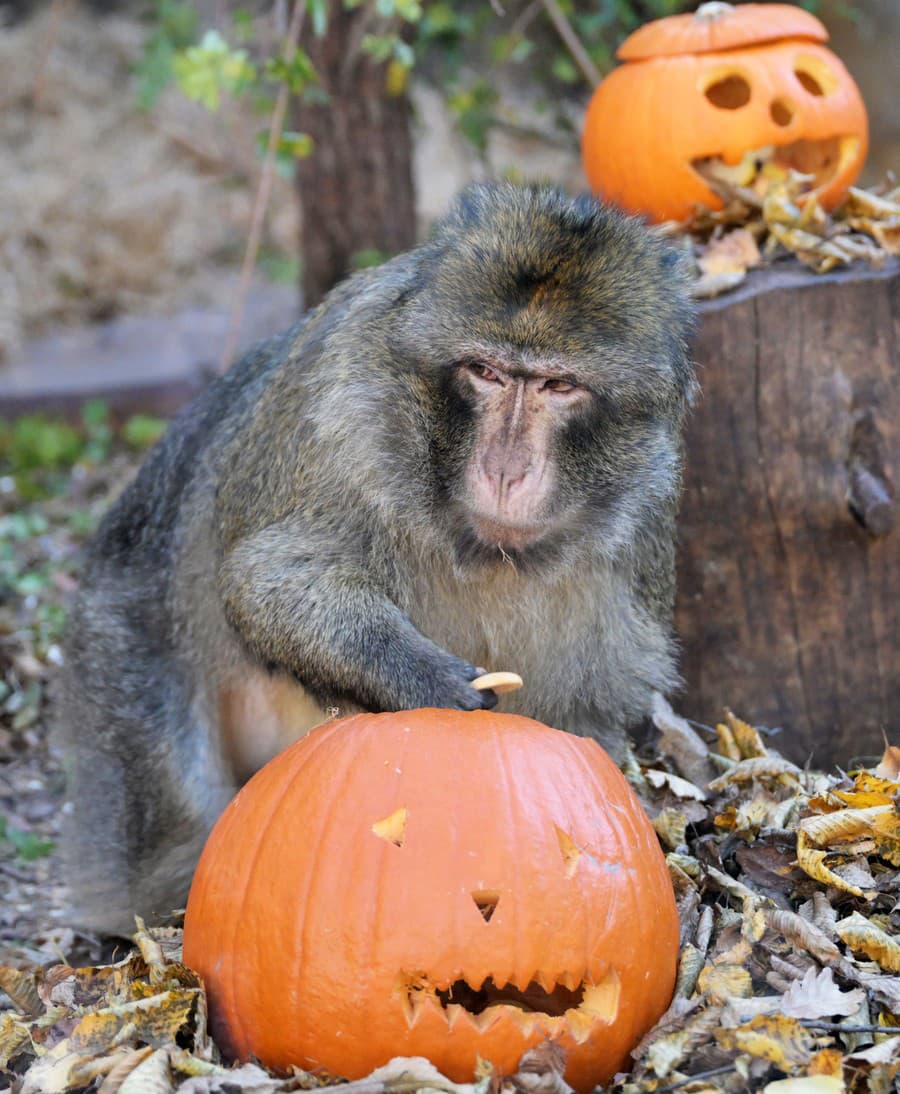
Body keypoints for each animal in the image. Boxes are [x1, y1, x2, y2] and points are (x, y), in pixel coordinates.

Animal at [56, 183, 695, 936]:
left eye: (557, 386)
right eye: (485, 373)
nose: (505, 469)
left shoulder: (647, 497)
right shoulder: (348, 407)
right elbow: (271, 579)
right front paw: (428, 681)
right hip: (118, 639)